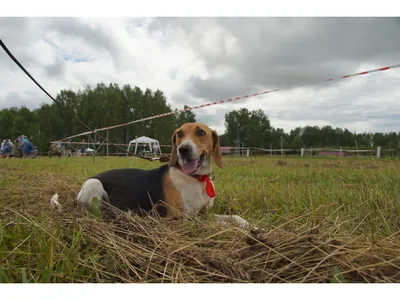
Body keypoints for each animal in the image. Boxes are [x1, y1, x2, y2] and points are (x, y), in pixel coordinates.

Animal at [77, 123, 252, 229]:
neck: (196, 178)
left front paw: (251, 226)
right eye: (179, 134)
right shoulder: (182, 219)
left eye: (201, 132)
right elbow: (220, 226)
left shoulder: (204, 214)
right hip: (94, 185)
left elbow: (235, 217)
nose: (183, 149)